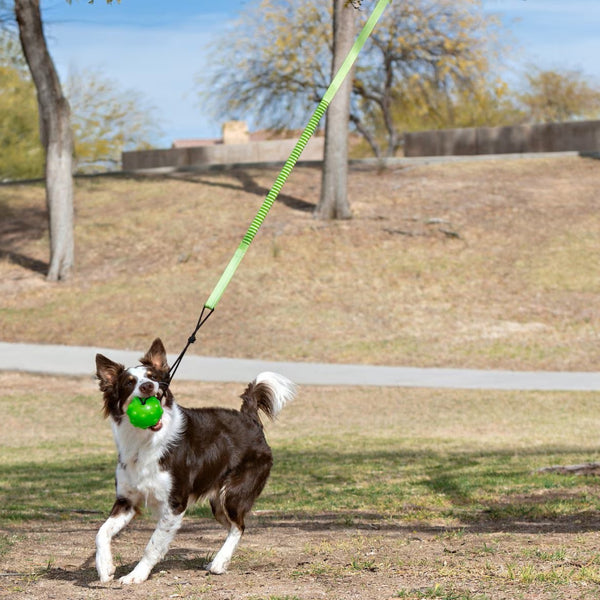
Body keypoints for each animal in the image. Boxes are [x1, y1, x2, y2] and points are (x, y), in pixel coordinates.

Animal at [93, 340, 296, 584]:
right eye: (129, 382)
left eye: (152, 377)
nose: (148, 386)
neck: (145, 440)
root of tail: (248, 417)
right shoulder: (127, 500)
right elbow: (101, 532)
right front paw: (105, 566)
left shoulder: (175, 503)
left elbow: (153, 544)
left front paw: (136, 575)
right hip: (217, 503)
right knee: (232, 525)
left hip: (234, 494)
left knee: (239, 526)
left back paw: (219, 563)